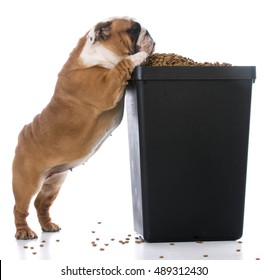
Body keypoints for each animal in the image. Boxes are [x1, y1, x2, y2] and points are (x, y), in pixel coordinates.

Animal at [12, 17, 155, 238]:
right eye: (133, 29)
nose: (149, 33)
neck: (98, 55)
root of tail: (22, 136)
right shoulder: (107, 85)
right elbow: (124, 63)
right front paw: (139, 56)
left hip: (54, 183)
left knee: (41, 204)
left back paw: (48, 226)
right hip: (27, 183)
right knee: (20, 208)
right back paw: (24, 232)